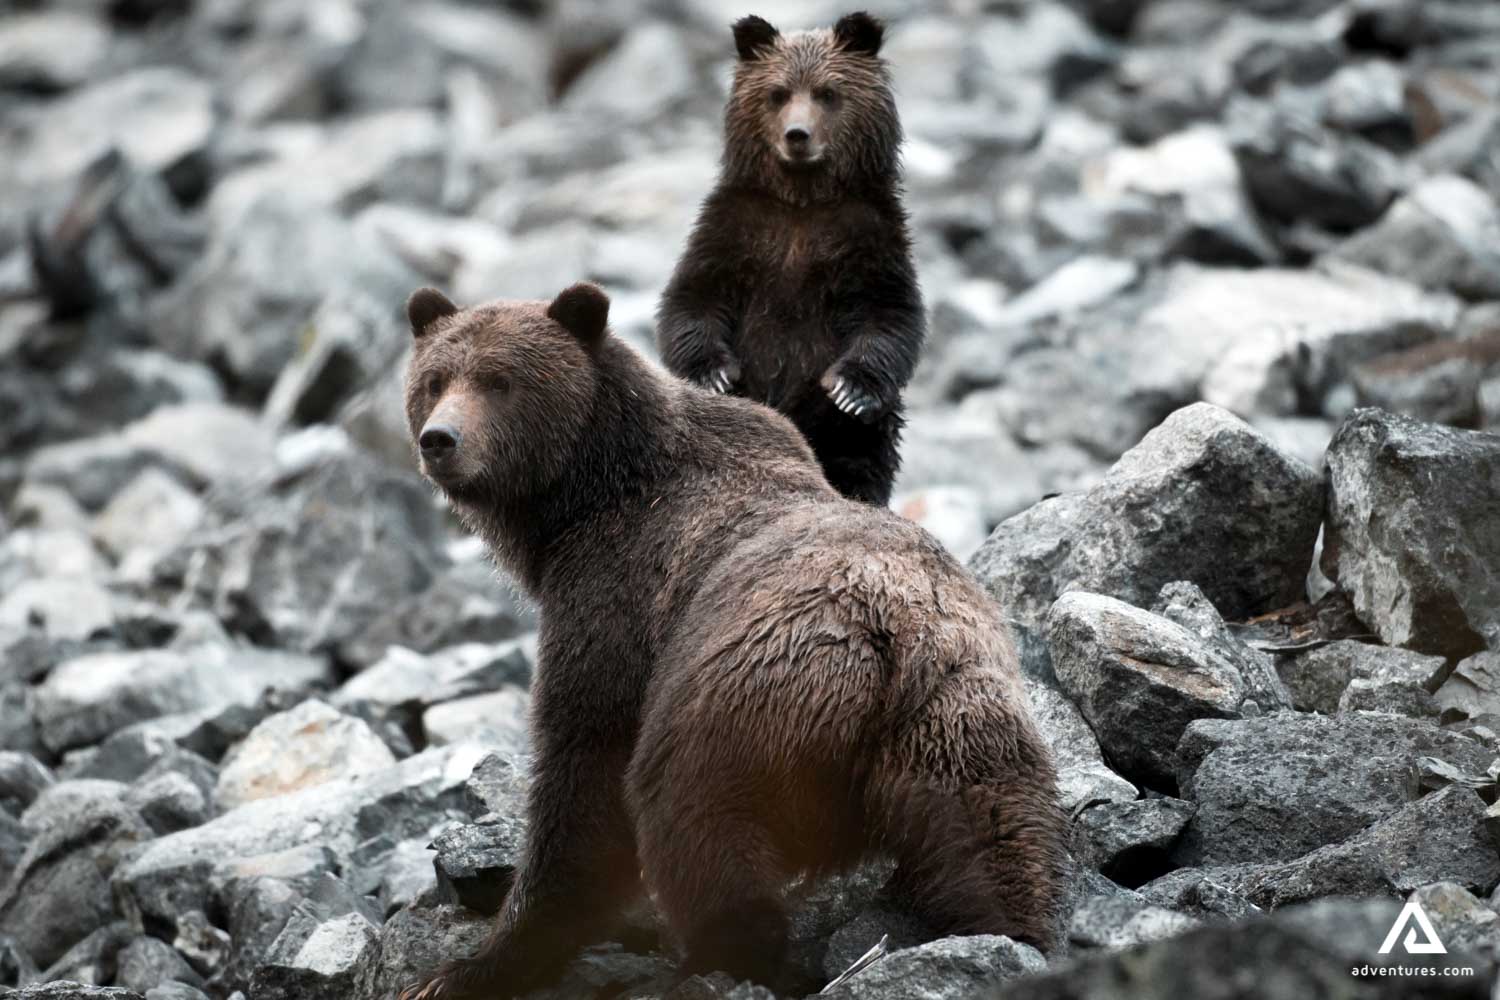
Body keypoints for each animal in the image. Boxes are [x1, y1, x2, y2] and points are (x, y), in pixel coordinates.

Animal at [398, 283, 1064, 1000]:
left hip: (741, 705)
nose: (441, 439)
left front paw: (471, 965)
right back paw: (1010, 932)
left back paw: (724, 958)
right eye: (434, 380)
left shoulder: (613, 599)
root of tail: (894, 640)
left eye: (500, 381)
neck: (580, 501)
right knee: (991, 837)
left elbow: (583, 767)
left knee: (692, 822)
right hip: (962, 720)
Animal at [656, 11, 924, 507]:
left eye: (828, 93)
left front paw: (851, 389)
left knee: (857, 462)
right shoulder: (732, 234)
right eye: (778, 93)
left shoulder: (870, 240)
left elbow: (890, 315)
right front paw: (714, 375)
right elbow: (692, 301)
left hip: (853, 437)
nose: (797, 135)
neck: (802, 202)